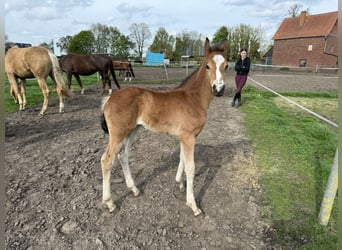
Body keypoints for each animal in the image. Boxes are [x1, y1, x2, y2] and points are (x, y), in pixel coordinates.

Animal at [99, 38, 227, 216]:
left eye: (226, 66)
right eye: (207, 66)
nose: (219, 89)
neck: (193, 98)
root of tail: (109, 98)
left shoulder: (185, 136)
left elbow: (181, 158)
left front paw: (179, 183)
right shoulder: (188, 136)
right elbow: (190, 167)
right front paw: (193, 205)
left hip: (132, 131)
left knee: (123, 156)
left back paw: (134, 189)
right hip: (118, 134)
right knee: (106, 160)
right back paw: (110, 203)